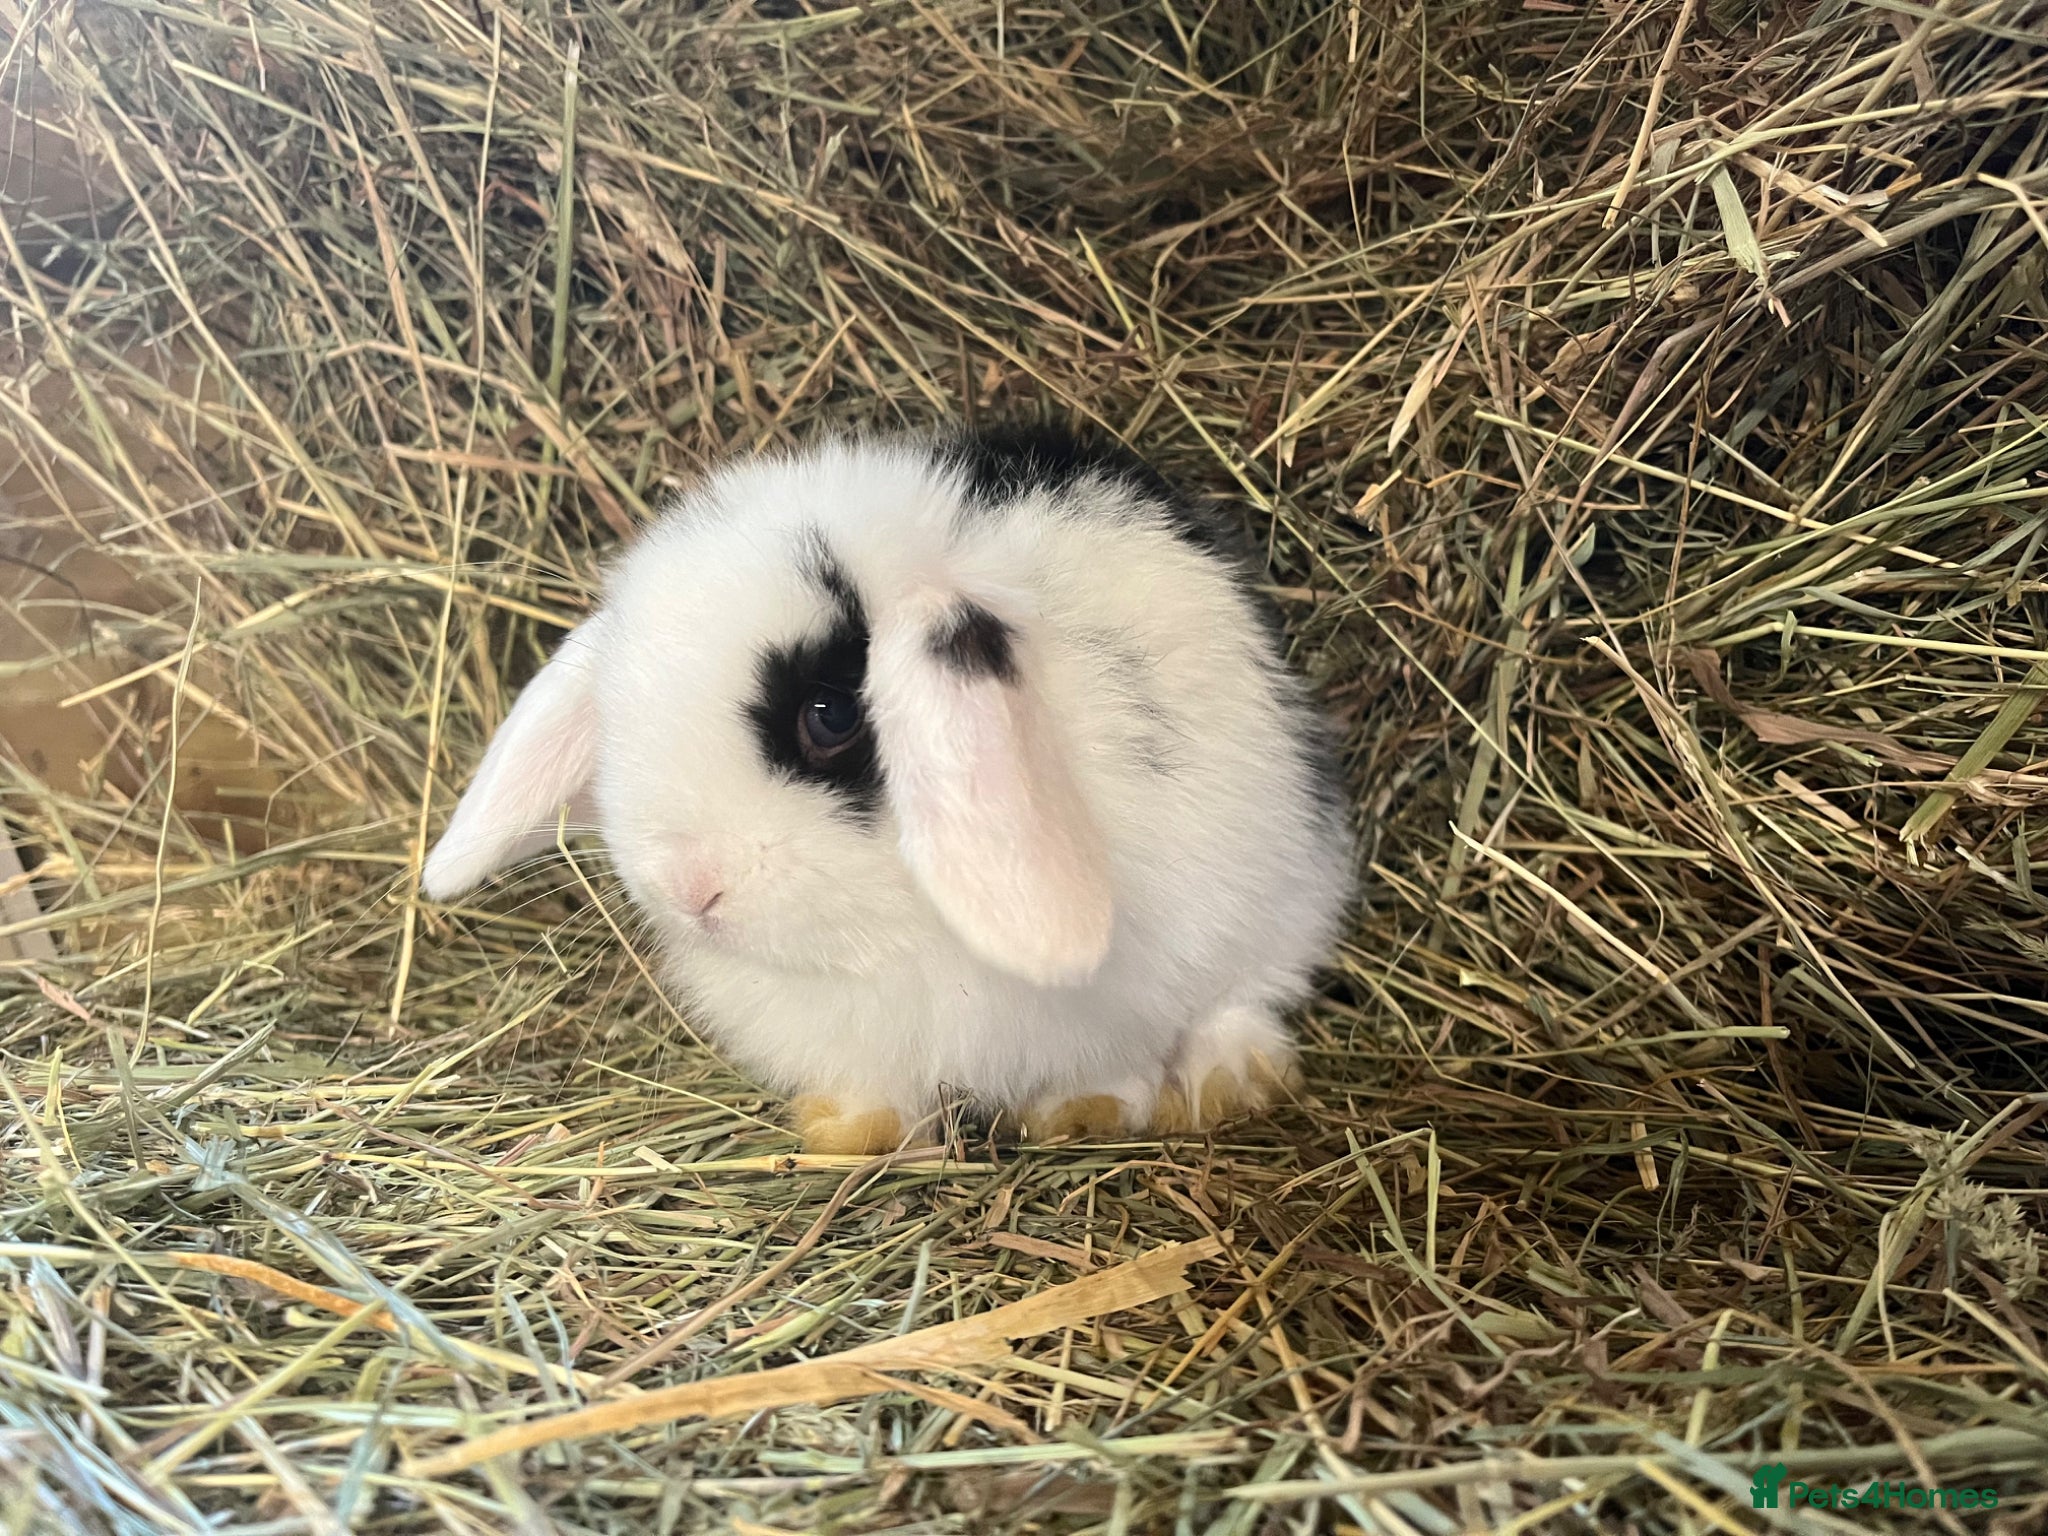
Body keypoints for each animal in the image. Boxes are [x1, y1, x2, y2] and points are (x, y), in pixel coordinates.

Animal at [422, 425, 1355, 1154]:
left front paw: (1080, 1114)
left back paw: (1228, 1084)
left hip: (1283, 891)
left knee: (1246, 992)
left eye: (830, 716)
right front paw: (844, 1129)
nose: (689, 889)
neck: (890, 936)